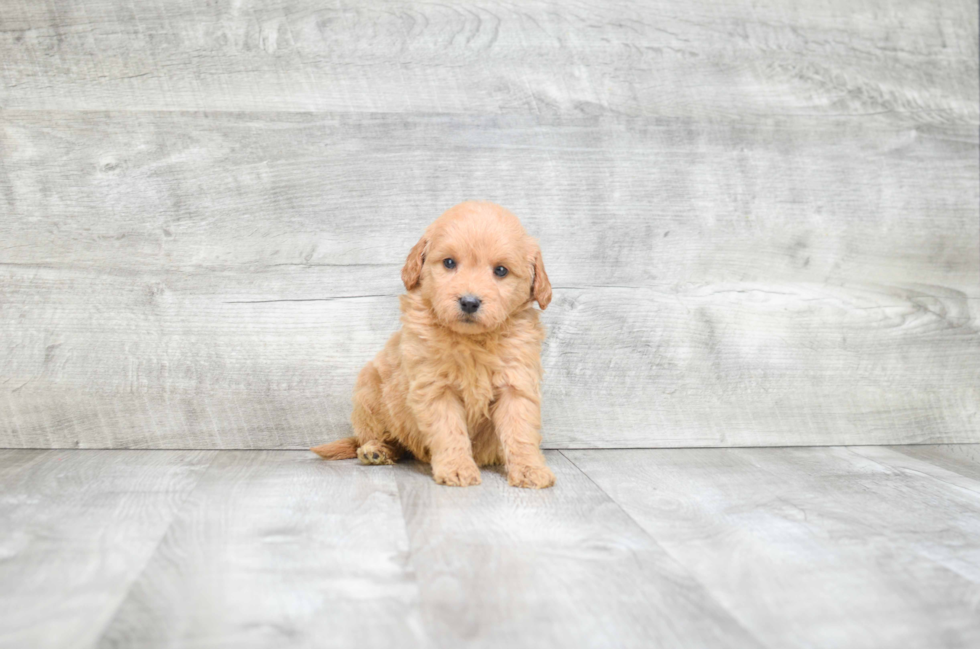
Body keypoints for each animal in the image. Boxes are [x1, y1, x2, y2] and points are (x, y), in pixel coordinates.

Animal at [310, 200, 556, 488]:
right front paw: (457, 468)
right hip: (368, 392)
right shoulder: (435, 387)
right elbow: (449, 430)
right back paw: (377, 450)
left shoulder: (516, 383)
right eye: (449, 263)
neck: (471, 341)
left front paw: (530, 469)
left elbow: (520, 431)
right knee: (384, 437)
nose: (469, 302)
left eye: (501, 270)